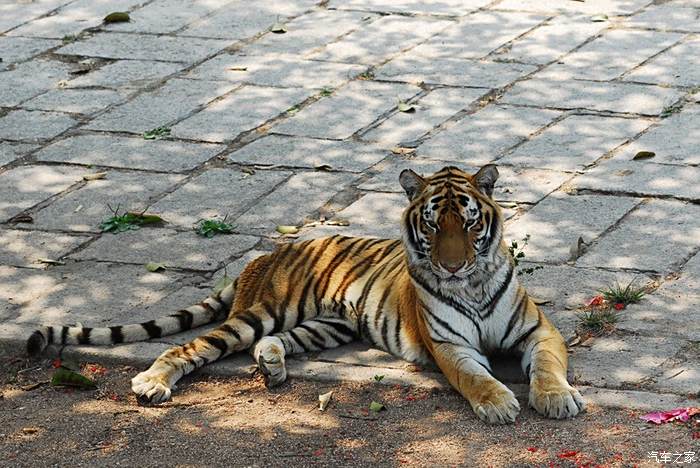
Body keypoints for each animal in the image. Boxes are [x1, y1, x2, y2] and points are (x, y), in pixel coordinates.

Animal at [26, 165, 584, 424]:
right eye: (432, 223)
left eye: (468, 223)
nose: (452, 265)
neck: (472, 281)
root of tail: (263, 256)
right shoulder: (450, 346)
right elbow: (474, 378)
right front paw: (498, 404)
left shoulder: (540, 331)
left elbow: (548, 367)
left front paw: (557, 399)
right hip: (263, 311)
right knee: (189, 346)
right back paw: (151, 383)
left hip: (325, 324)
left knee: (273, 343)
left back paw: (272, 368)